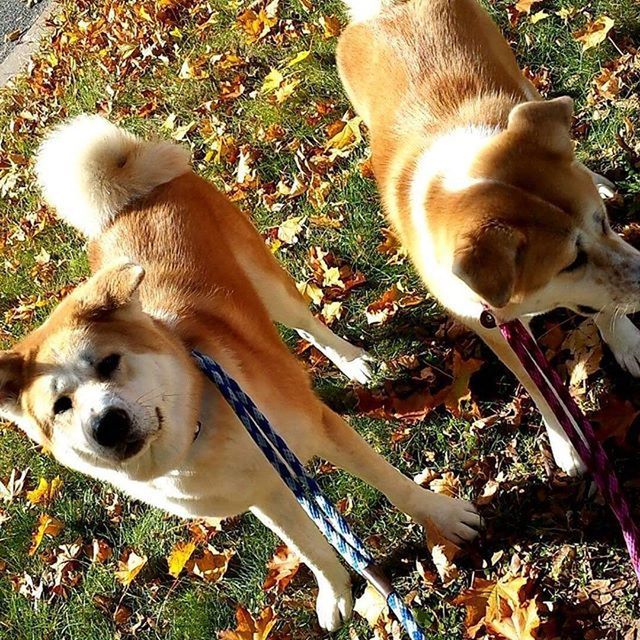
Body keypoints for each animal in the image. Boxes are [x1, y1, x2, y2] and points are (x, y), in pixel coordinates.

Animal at [0, 115, 480, 632]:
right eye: (60, 407)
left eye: (108, 362)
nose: (107, 424)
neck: (198, 438)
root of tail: (128, 198)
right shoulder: (265, 491)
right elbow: (310, 548)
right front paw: (336, 590)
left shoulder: (323, 431)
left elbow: (395, 487)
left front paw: (443, 515)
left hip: (268, 282)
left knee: (308, 325)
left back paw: (349, 360)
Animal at [338, 0, 636, 476]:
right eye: (569, 262)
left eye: (603, 222)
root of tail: (384, 10)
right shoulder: (493, 330)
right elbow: (539, 390)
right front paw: (566, 444)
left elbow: (607, 302)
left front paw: (626, 340)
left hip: (522, 87)